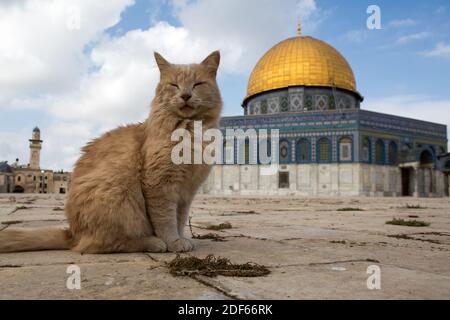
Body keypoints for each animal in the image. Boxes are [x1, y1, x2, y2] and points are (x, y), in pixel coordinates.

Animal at [0, 51, 223, 254]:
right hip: (116, 192)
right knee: (100, 245)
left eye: (197, 84)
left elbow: (180, 220)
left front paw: (181, 238)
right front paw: (172, 243)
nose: (185, 95)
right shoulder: (160, 185)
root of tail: (72, 233)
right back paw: (153, 243)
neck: (190, 132)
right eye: (174, 85)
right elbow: (165, 221)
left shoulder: (186, 192)